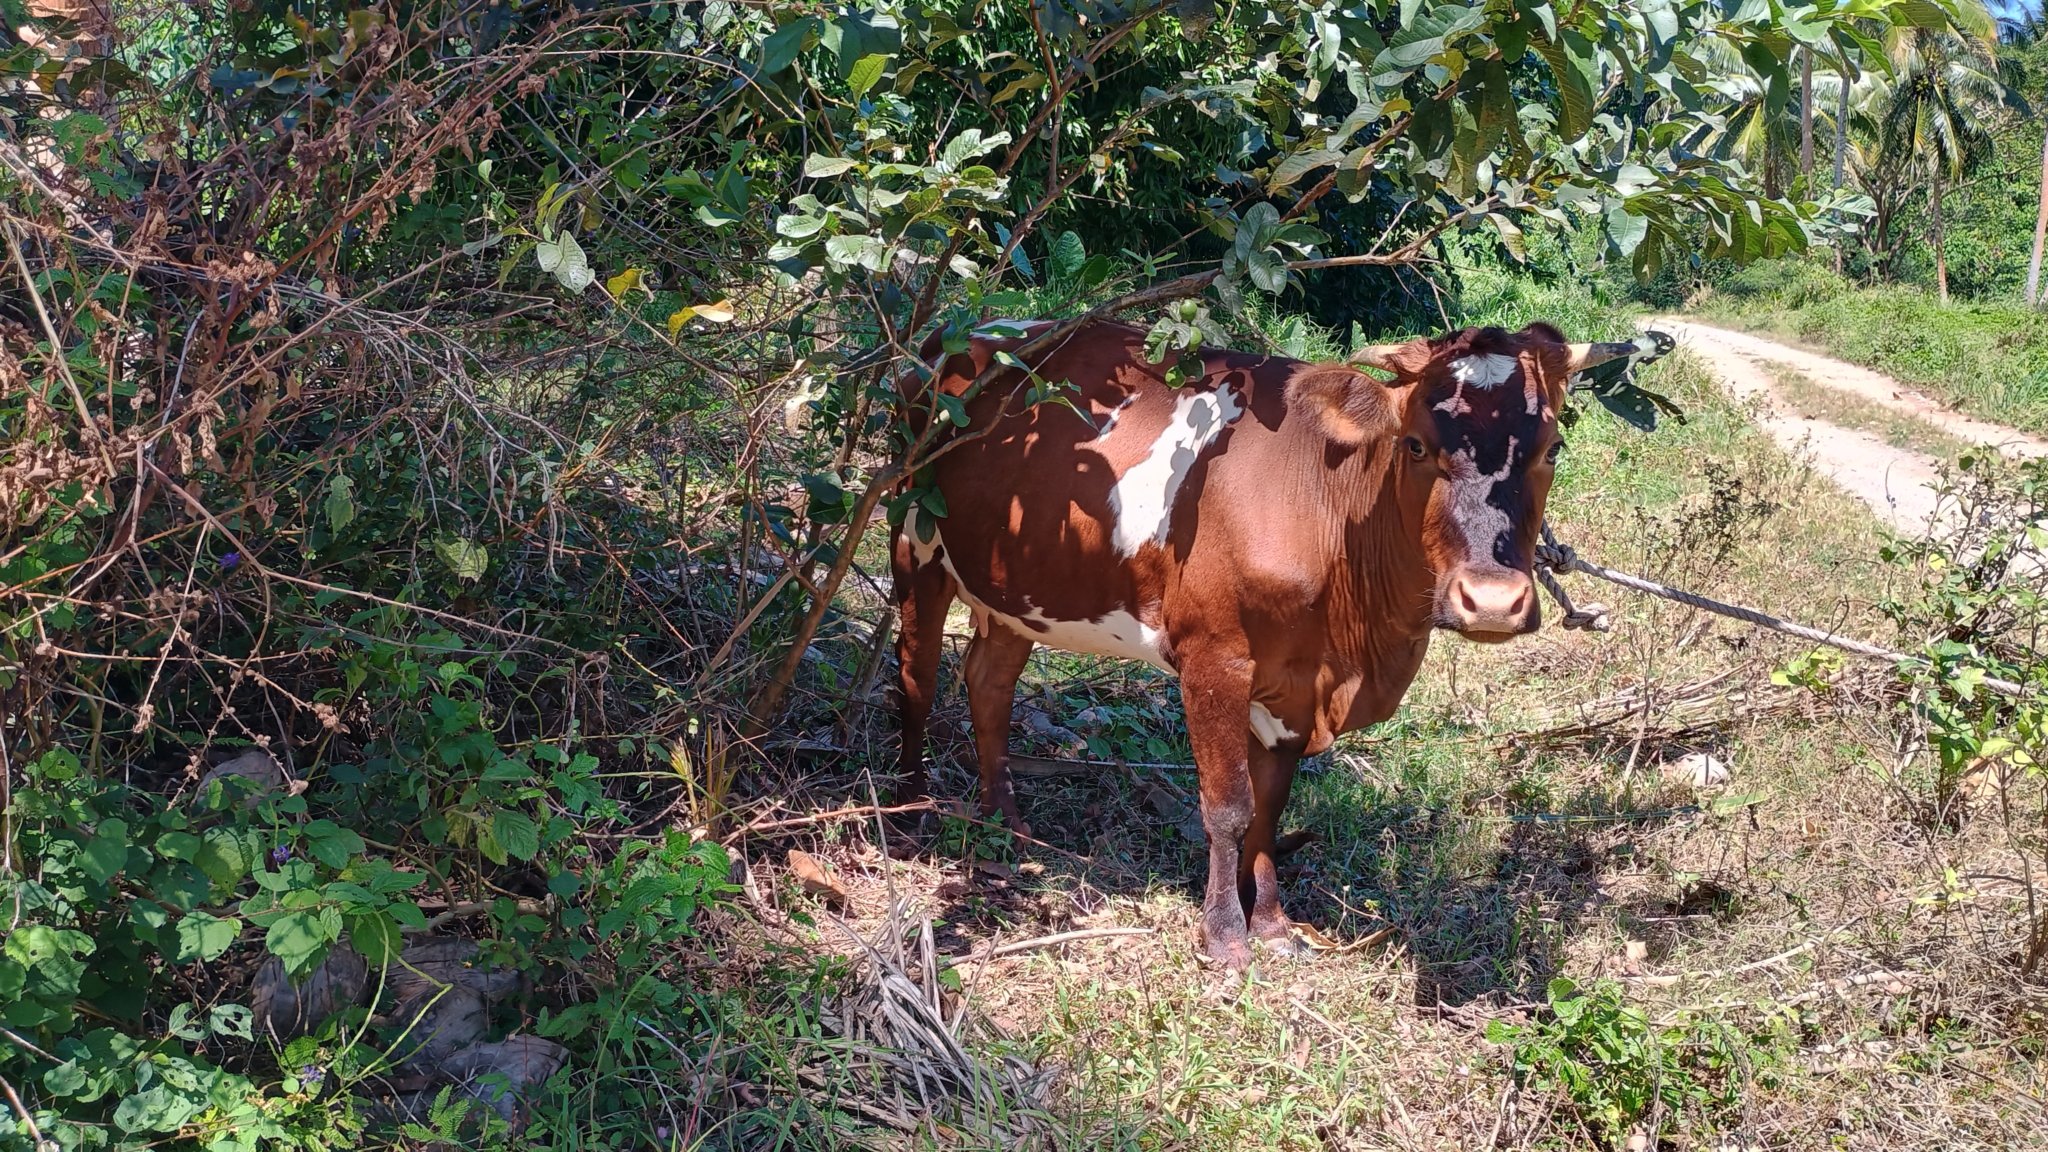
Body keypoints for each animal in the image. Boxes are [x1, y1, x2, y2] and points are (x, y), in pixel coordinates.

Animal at [888, 317, 1638, 963]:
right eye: (1416, 444)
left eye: (1551, 449)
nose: (1492, 602)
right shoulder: (1213, 655)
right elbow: (1227, 806)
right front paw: (1225, 938)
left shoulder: (1295, 681)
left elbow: (1271, 808)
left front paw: (1274, 926)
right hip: (914, 538)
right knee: (916, 675)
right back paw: (907, 814)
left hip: (1015, 585)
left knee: (988, 681)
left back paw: (1005, 825)